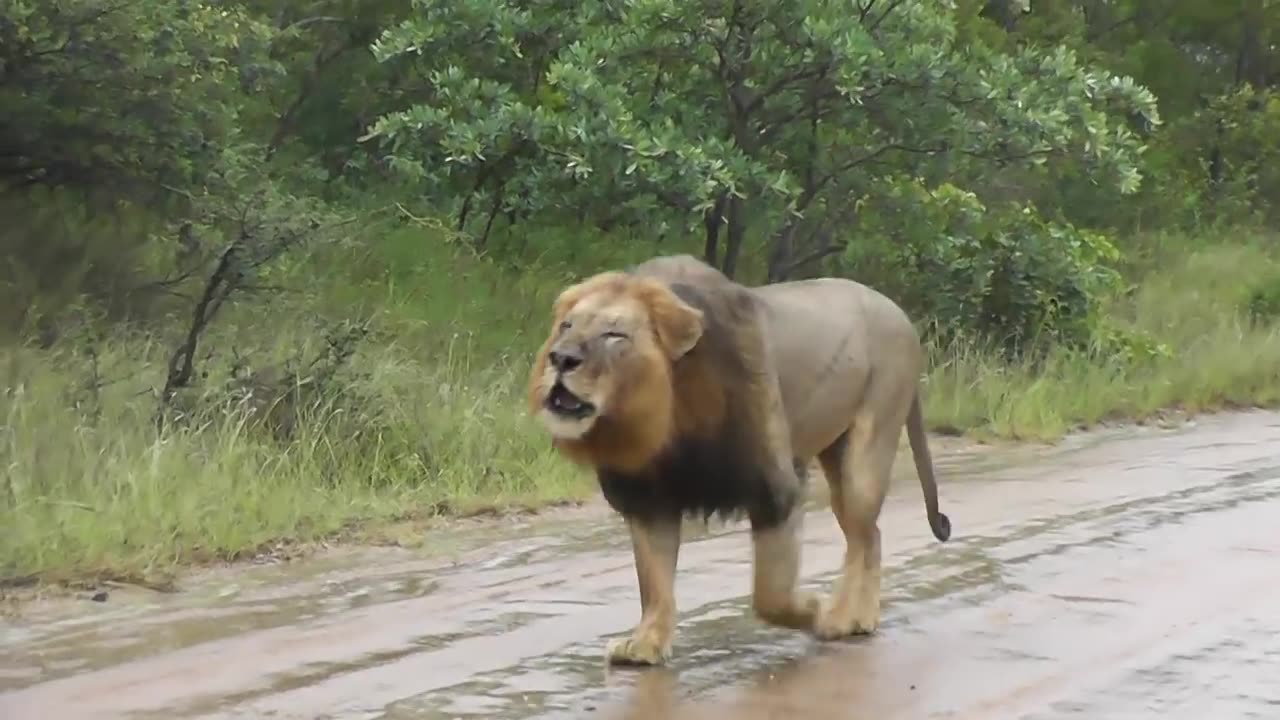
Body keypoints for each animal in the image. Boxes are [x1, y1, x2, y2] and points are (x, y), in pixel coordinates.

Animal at [524, 252, 957, 661]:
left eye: (615, 334)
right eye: (566, 327)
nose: (560, 358)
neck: (669, 418)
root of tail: (901, 314)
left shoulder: (775, 487)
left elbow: (770, 594)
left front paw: (813, 609)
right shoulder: (648, 497)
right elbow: (655, 582)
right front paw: (645, 645)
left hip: (869, 447)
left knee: (866, 536)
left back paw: (847, 618)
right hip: (838, 452)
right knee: (868, 534)